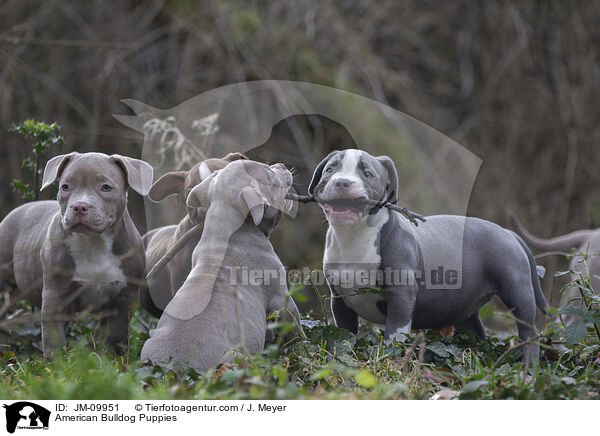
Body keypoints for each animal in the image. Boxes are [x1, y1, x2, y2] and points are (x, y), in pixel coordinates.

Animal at [0, 152, 154, 356]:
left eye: (106, 187)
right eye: (65, 187)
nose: (80, 206)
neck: (94, 242)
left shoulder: (124, 299)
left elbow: (115, 333)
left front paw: (111, 357)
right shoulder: (54, 297)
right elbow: (53, 337)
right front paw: (55, 361)